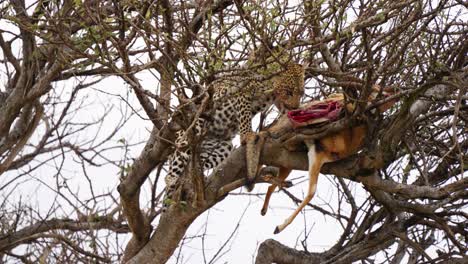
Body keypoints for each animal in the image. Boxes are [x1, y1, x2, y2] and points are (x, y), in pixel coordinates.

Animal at [163, 63, 306, 210]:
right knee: (173, 169)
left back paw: (197, 175)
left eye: (301, 93)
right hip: (193, 128)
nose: (295, 106)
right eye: (288, 91)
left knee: (197, 162)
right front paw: (247, 135)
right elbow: (244, 115)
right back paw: (172, 183)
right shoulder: (243, 91)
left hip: (224, 147)